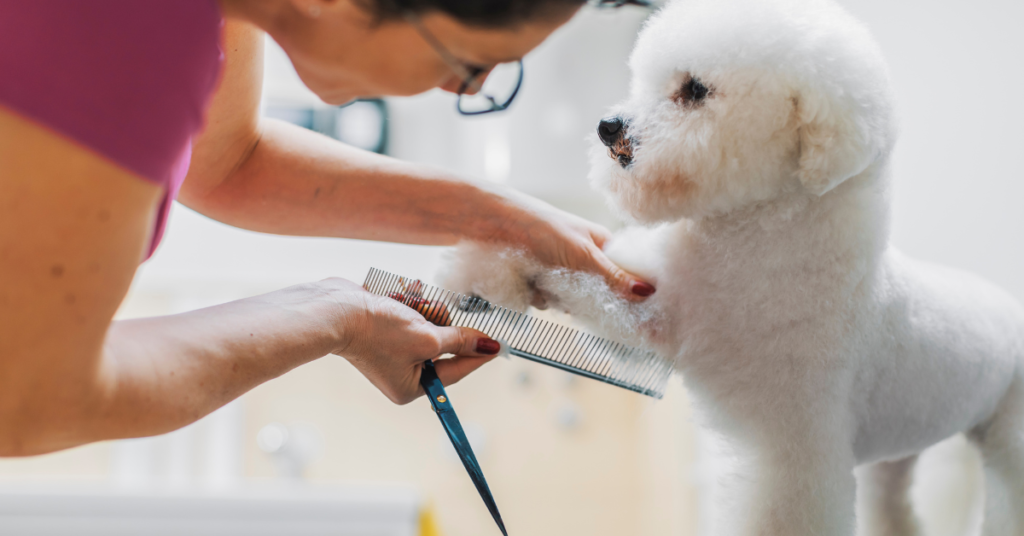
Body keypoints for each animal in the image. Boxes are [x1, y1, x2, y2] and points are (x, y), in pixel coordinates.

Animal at [440, 0, 1024, 532]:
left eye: (695, 90)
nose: (608, 125)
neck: (745, 244)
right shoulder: (659, 311)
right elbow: (585, 280)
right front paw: (490, 273)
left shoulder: (792, 454)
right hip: (896, 458)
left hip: (1006, 447)